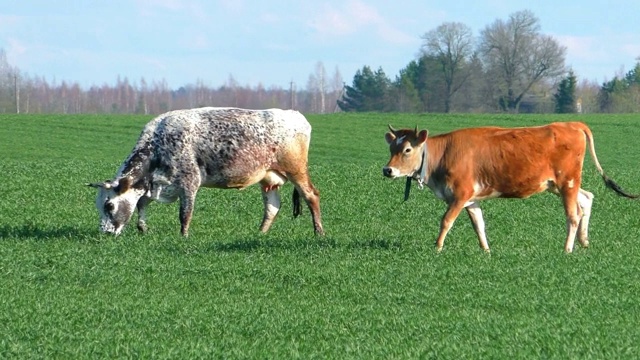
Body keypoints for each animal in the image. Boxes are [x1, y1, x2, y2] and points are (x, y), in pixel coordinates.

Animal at [87, 107, 324, 236]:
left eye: (109, 205)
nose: (105, 232)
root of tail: (295, 115)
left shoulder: (189, 182)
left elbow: (185, 214)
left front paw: (183, 236)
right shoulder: (153, 184)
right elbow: (141, 205)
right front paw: (143, 229)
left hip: (296, 170)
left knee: (311, 196)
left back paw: (319, 232)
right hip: (268, 177)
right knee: (272, 207)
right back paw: (259, 234)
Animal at [382, 122, 636, 255]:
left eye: (407, 149)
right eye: (392, 148)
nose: (388, 170)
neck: (444, 154)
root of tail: (572, 124)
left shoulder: (460, 194)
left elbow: (446, 221)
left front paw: (437, 247)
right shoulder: (471, 199)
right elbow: (479, 225)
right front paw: (486, 251)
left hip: (568, 181)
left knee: (573, 216)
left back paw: (567, 249)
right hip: (558, 185)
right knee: (586, 199)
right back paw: (584, 241)